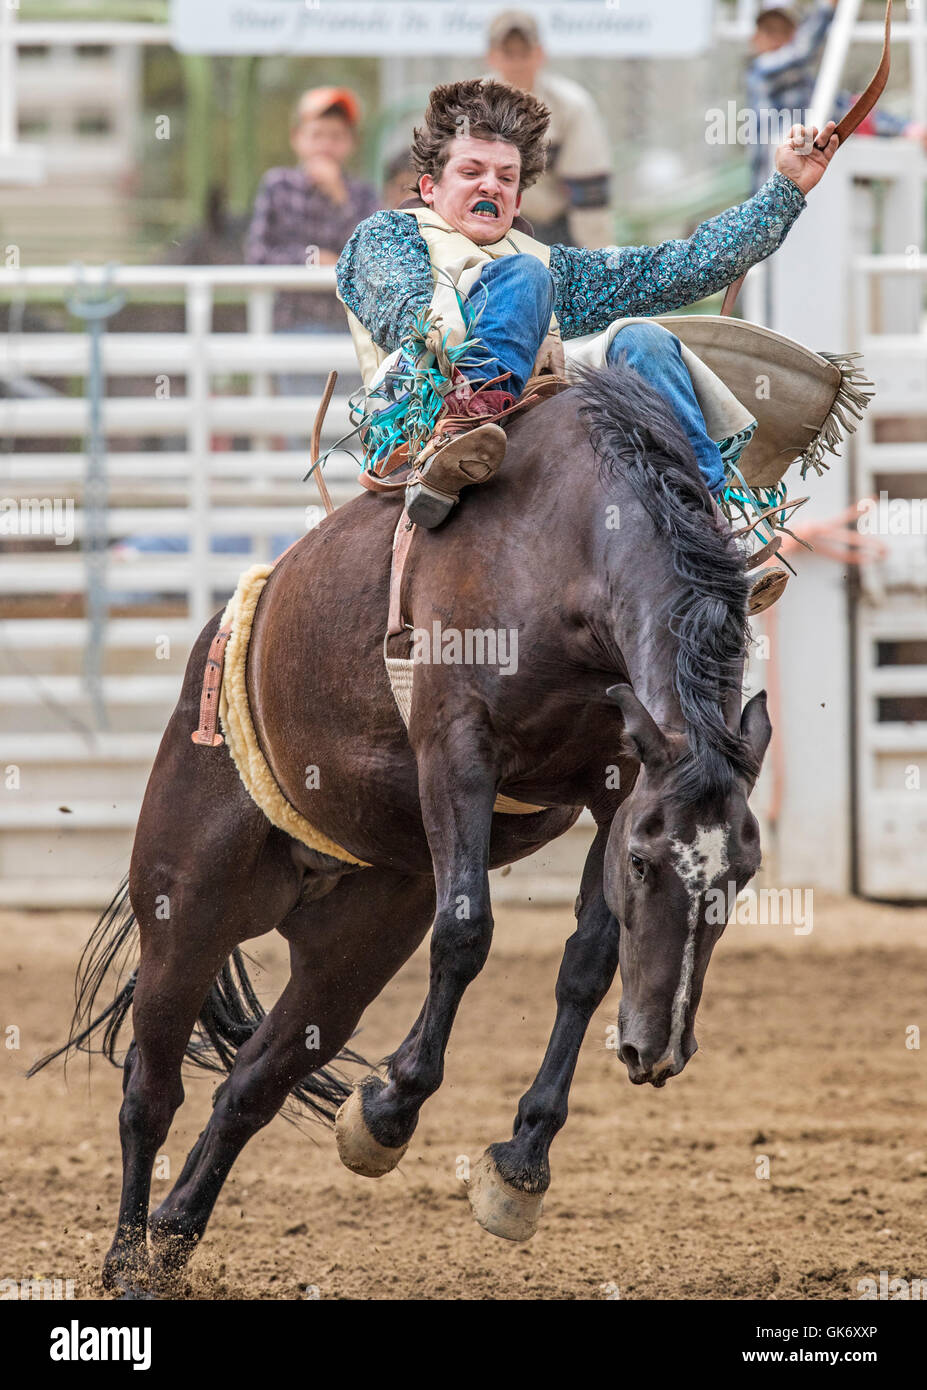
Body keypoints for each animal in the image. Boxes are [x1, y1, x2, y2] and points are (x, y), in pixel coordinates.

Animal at [31, 357, 772, 1297]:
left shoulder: (616, 782)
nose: (658, 1047)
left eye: (741, 875)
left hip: (351, 948)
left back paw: (171, 1236)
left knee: (250, 1086)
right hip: (186, 907)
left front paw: (520, 1163)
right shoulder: (455, 743)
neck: (565, 541)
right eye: (645, 864)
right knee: (148, 1090)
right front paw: (387, 1110)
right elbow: (466, 934)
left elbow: (588, 961)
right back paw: (129, 1260)